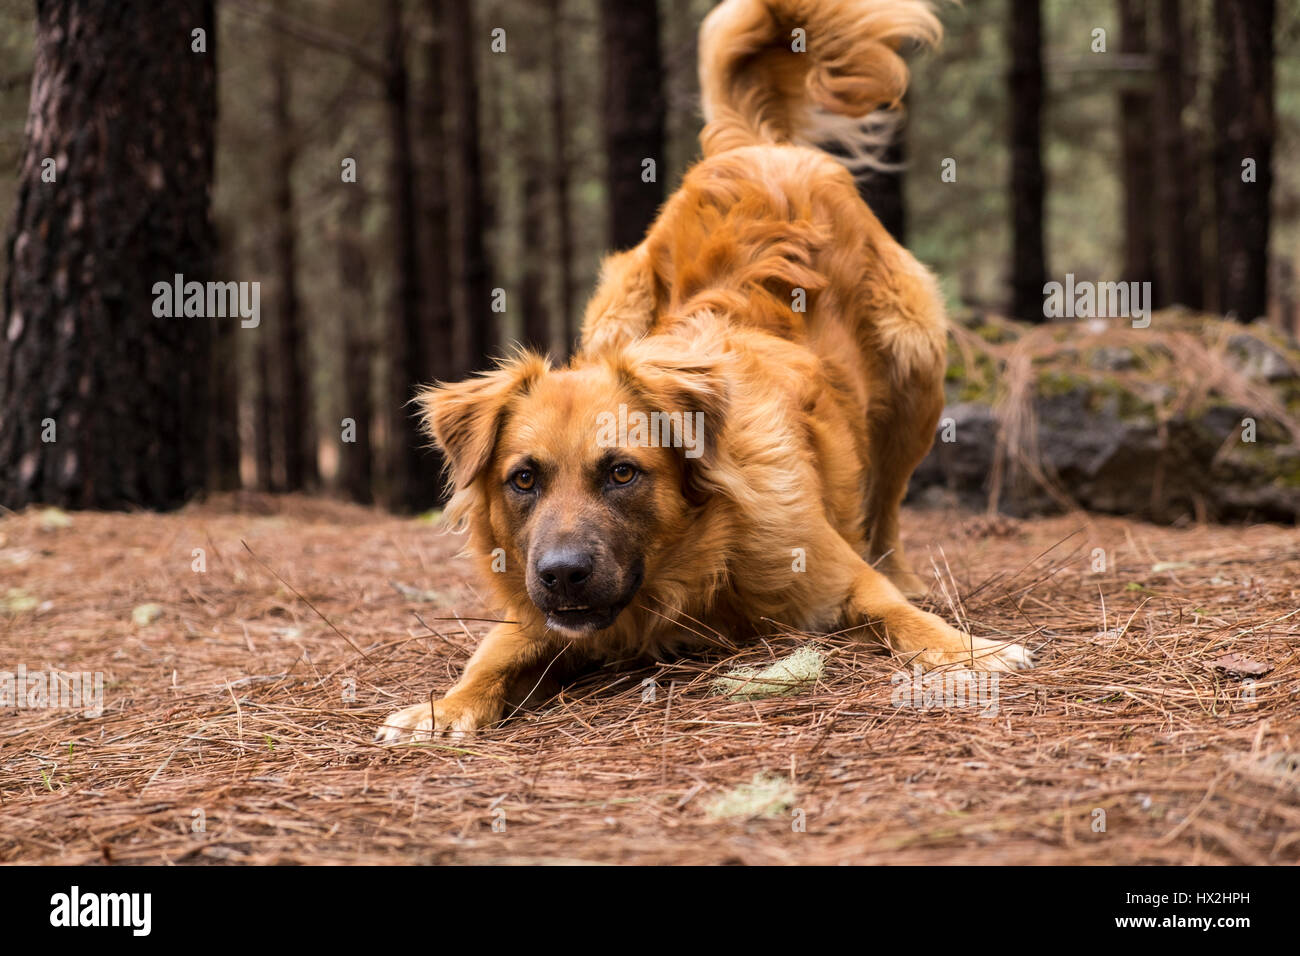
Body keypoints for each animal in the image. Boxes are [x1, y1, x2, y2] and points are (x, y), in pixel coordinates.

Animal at [374, 0, 1024, 738]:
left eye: (622, 472)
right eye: (523, 479)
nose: (562, 574)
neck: (691, 570)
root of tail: (752, 147)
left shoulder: (835, 572)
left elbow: (897, 611)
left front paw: (967, 649)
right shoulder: (539, 618)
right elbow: (491, 655)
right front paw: (443, 707)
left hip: (917, 371)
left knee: (885, 507)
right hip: (613, 317)